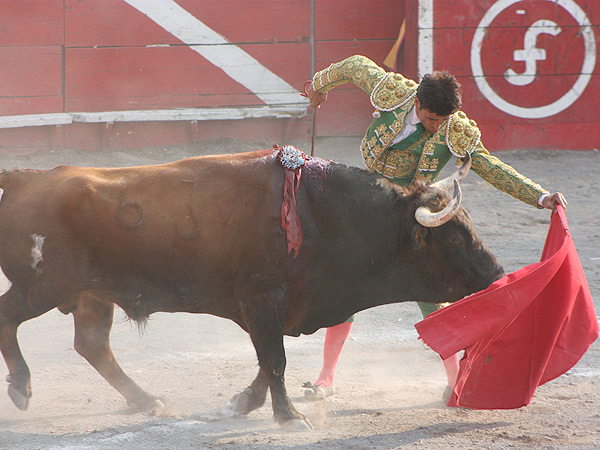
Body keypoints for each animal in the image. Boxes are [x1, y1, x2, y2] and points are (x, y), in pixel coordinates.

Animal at [0, 148, 504, 428]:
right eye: (454, 237)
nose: (497, 274)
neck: (323, 211)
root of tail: (24, 177)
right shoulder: (262, 300)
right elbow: (275, 359)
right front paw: (291, 417)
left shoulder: (283, 308)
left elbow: (268, 359)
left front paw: (241, 404)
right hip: (43, 284)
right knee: (11, 320)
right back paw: (22, 388)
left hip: (91, 294)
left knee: (92, 345)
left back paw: (146, 400)